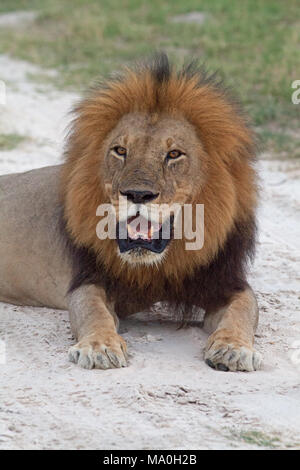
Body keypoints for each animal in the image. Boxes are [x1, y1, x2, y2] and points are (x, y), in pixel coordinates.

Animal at [0, 54, 262, 370]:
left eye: (174, 154)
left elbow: (244, 311)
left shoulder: (226, 283)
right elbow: (93, 312)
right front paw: (99, 347)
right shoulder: (89, 280)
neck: (156, 267)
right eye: (120, 150)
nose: (138, 194)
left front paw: (233, 348)